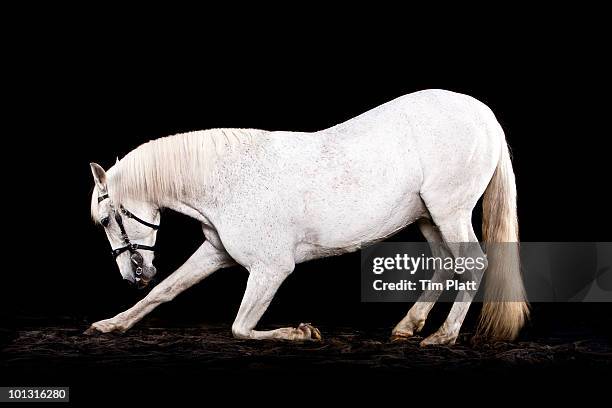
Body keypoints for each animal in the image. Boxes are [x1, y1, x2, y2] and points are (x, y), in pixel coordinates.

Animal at [87, 89, 532, 344]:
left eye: (106, 220)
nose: (134, 274)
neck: (227, 179)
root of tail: (482, 113)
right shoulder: (216, 252)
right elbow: (166, 290)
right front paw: (111, 325)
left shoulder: (271, 268)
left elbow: (240, 327)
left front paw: (301, 332)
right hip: (429, 217)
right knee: (445, 264)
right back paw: (409, 326)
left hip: (449, 210)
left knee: (473, 263)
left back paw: (443, 336)